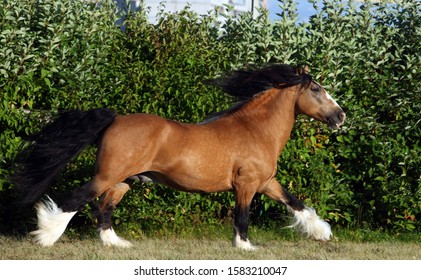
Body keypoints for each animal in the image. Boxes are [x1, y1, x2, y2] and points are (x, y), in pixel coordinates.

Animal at [13, 64, 344, 250]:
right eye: (316, 89)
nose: (340, 116)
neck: (254, 129)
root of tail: (115, 119)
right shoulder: (246, 185)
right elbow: (242, 216)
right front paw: (246, 247)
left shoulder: (266, 183)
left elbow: (296, 204)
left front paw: (322, 233)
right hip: (107, 175)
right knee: (77, 200)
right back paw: (46, 236)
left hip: (123, 180)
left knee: (104, 209)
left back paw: (118, 244)